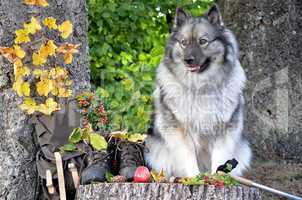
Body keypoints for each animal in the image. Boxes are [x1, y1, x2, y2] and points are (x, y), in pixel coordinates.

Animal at [145, 4, 252, 177]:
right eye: (184, 42)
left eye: (203, 41)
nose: (188, 60)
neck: (200, 86)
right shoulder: (180, 131)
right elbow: (188, 156)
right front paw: (195, 177)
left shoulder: (224, 130)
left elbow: (219, 157)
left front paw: (217, 177)